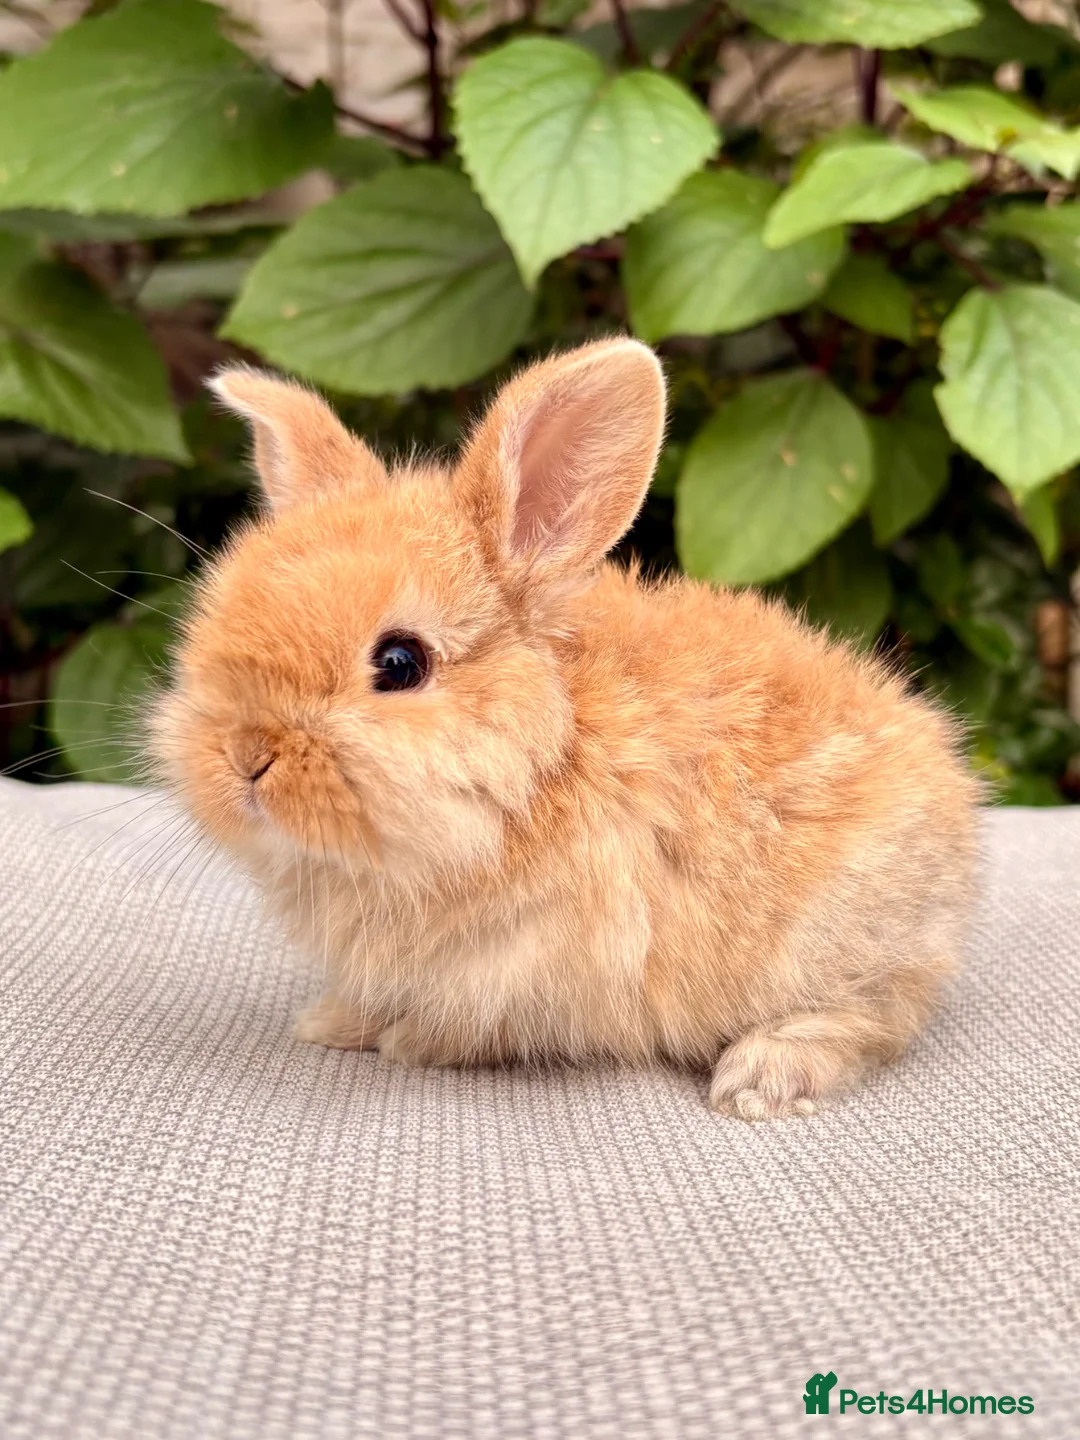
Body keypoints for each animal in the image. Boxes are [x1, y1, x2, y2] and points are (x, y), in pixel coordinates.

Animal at [149, 338, 979, 1119]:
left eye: (400, 662)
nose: (245, 756)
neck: (545, 760)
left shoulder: (534, 970)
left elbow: (470, 1026)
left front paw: (408, 1044)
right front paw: (331, 1023)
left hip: (829, 943)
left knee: (872, 1018)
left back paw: (759, 1079)